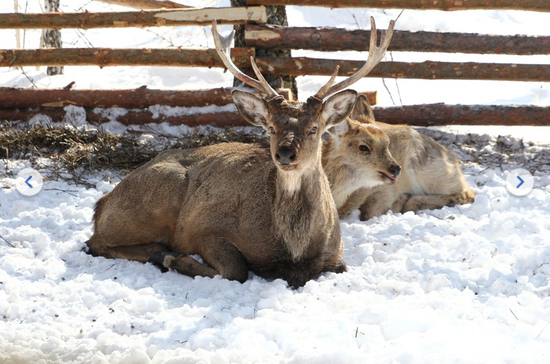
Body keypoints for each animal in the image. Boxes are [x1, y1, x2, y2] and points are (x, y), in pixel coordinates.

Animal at [85, 17, 396, 288]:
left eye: (314, 128)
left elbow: (340, 266)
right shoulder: (205, 228)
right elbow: (237, 271)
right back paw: (159, 253)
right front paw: (174, 258)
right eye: (271, 128)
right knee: (95, 243)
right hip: (157, 197)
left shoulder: (337, 252)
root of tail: (102, 203)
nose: (285, 154)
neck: (294, 249)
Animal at [324, 94, 474, 220]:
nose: (396, 169)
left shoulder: (384, 189)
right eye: (363, 147)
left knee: (467, 193)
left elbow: (368, 212)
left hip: (428, 172)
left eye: (387, 142)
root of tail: (452, 156)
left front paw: (398, 202)